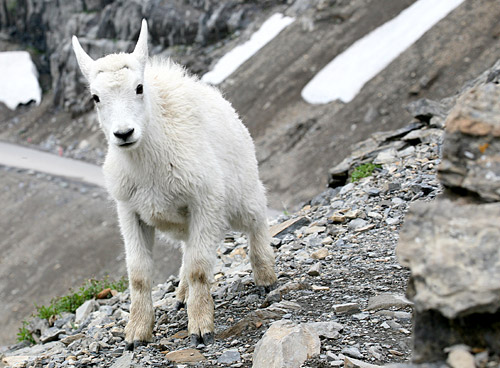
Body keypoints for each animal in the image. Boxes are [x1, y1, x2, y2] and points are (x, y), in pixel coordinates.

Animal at [72, 20, 278, 348]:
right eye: (96, 97)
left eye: (139, 87)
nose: (124, 133)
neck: (148, 164)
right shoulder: (129, 211)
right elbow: (139, 274)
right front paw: (136, 332)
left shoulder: (205, 202)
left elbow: (199, 268)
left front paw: (201, 326)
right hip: (183, 221)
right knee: (186, 250)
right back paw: (181, 296)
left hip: (242, 194)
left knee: (256, 221)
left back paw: (265, 278)